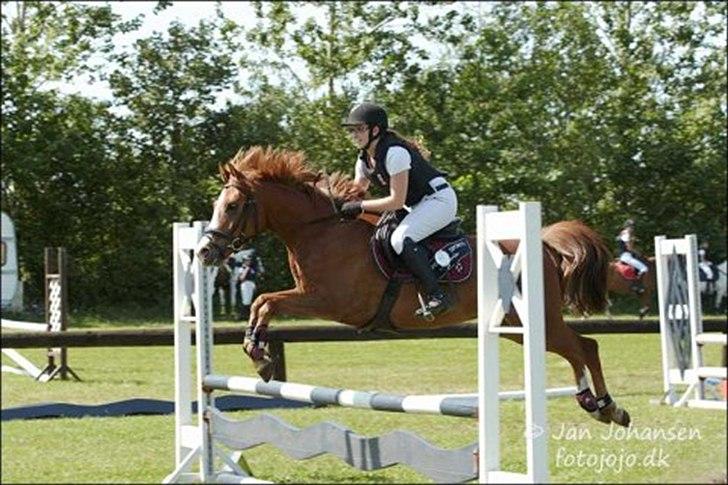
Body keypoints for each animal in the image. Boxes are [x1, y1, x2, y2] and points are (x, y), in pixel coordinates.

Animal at [195, 146, 631, 427]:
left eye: (232, 206)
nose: (204, 251)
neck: (321, 231)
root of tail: (542, 245)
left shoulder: (329, 301)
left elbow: (267, 301)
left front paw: (260, 356)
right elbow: (261, 304)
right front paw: (258, 353)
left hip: (531, 318)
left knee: (585, 346)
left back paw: (609, 407)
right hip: (515, 326)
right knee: (574, 349)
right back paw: (593, 404)